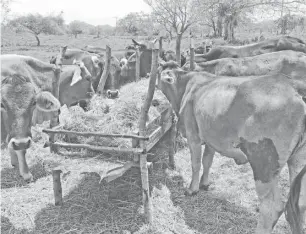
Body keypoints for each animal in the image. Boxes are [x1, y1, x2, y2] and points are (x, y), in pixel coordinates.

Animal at [158, 61, 306, 234]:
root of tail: (293, 86)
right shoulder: (211, 138)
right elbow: (207, 161)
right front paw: (205, 183)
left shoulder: (193, 134)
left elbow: (195, 164)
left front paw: (192, 189)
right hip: (298, 159)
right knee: (299, 204)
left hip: (264, 163)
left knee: (272, 207)